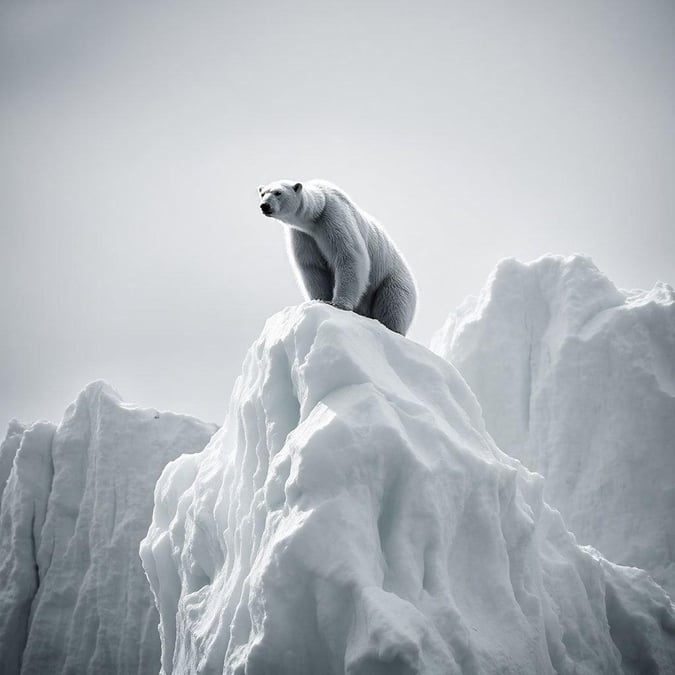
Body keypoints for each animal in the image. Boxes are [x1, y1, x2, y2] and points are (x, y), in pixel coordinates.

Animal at [258, 181, 418, 336]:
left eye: (278, 192)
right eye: (262, 193)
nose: (264, 206)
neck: (316, 212)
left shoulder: (333, 216)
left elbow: (349, 255)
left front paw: (338, 304)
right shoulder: (303, 235)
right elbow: (312, 267)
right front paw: (320, 300)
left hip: (393, 280)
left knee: (393, 304)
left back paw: (392, 329)